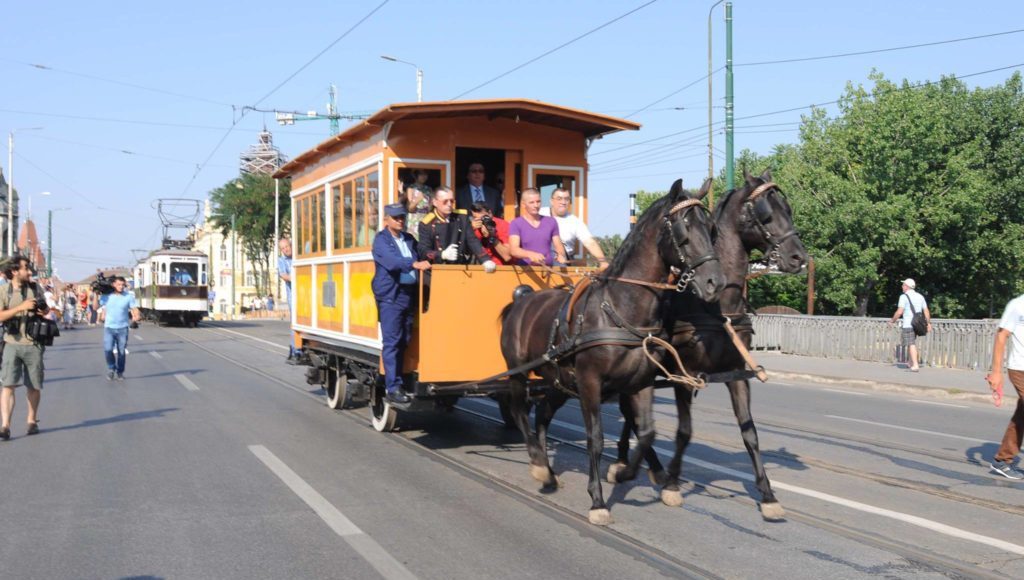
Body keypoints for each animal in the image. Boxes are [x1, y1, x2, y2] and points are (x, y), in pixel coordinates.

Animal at [497, 179, 724, 524]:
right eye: (683, 229)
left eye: (711, 229)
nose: (715, 283)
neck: (618, 308)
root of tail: (521, 299)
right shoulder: (590, 383)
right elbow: (596, 438)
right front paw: (598, 501)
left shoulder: (640, 383)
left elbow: (646, 432)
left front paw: (627, 472)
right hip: (519, 373)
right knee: (519, 409)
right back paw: (538, 465)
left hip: (559, 382)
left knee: (543, 416)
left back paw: (548, 470)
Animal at [606, 169, 806, 522]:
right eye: (766, 213)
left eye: (788, 208)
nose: (799, 257)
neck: (716, 307)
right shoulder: (685, 374)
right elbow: (684, 431)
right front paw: (673, 485)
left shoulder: (737, 372)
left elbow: (749, 431)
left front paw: (767, 494)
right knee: (631, 412)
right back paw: (647, 468)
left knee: (630, 412)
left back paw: (626, 460)